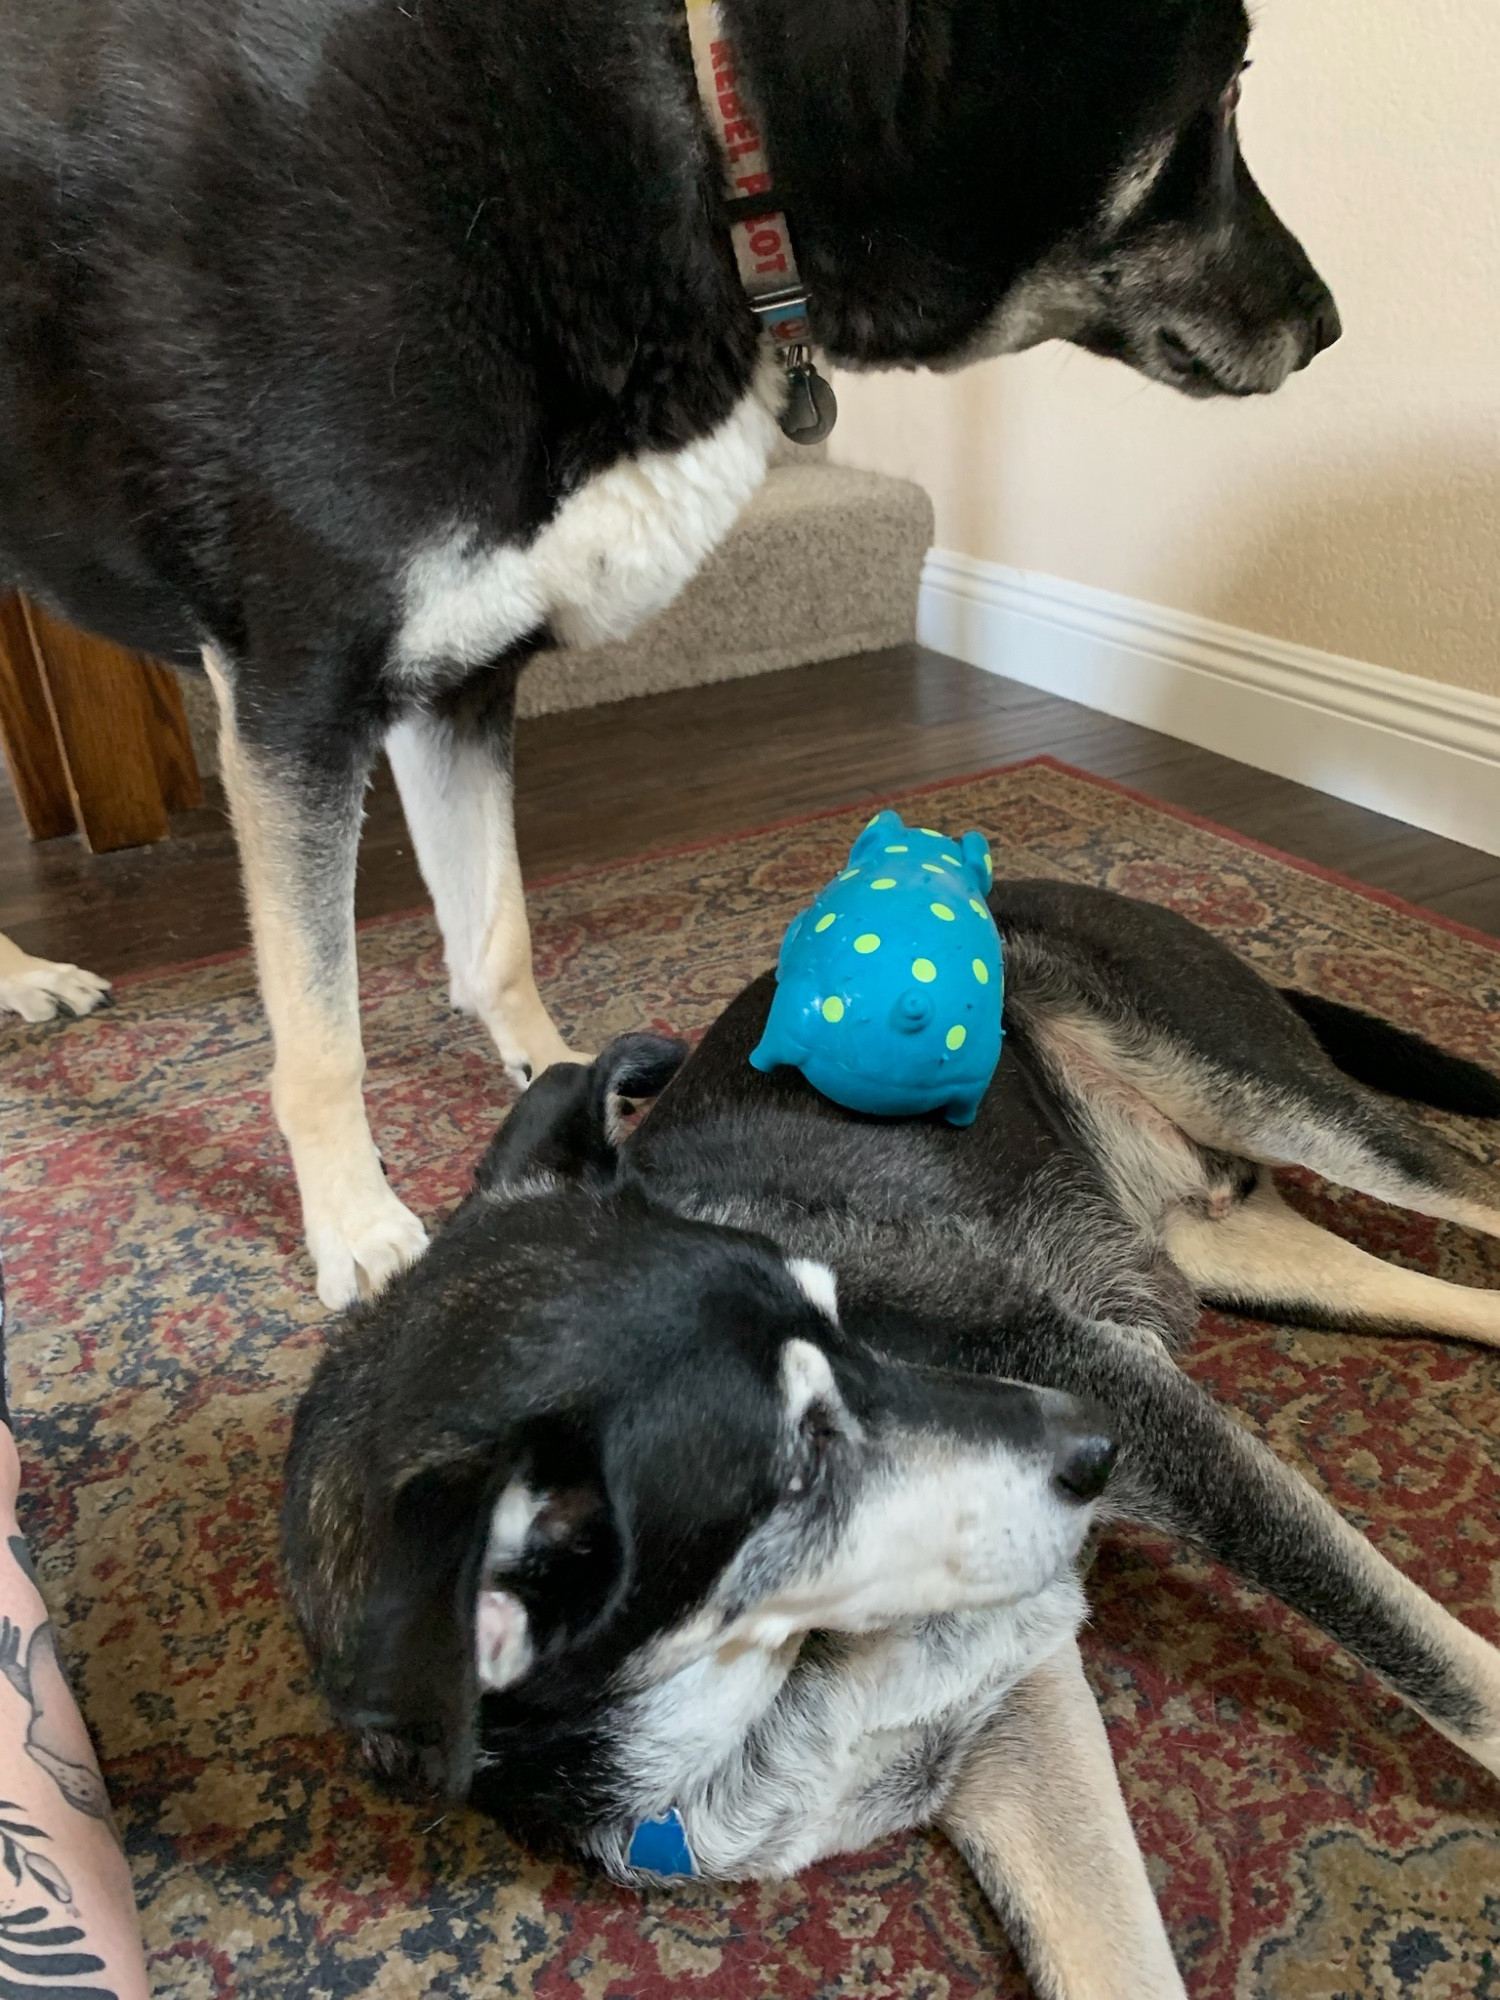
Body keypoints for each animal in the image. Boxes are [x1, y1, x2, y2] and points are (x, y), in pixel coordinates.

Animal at [0, 0, 1336, 1304]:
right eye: (1223, 95)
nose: (1328, 325)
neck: (708, 125)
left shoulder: (463, 678)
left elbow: (495, 931)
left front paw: (555, 1070)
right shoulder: (301, 695)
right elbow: (321, 1030)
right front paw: (358, 1224)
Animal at [282, 880, 1500, 2000]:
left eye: (837, 1311)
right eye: (802, 1462)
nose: (1092, 1445)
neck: (757, 1689)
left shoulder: (1110, 1401)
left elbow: (1427, 1652)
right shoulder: (1006, 1720)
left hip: (1265, 1096)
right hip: (1234, 1246)